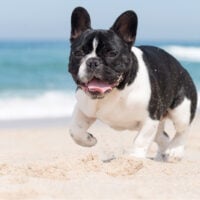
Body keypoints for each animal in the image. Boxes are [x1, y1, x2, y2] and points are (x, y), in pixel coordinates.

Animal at [68, 7, 198, 162]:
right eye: (78, 53)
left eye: (112, 53)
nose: (93, 61)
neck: (115, 92)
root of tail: (182, 67)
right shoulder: (84, 108)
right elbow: (74, 129)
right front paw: (88, 139)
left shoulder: (150, 118)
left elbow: (141, 140)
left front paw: (133, 159)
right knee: (163, 137)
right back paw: (162, 156)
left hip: (182, 110)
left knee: (183, 130)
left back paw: (174, 151)